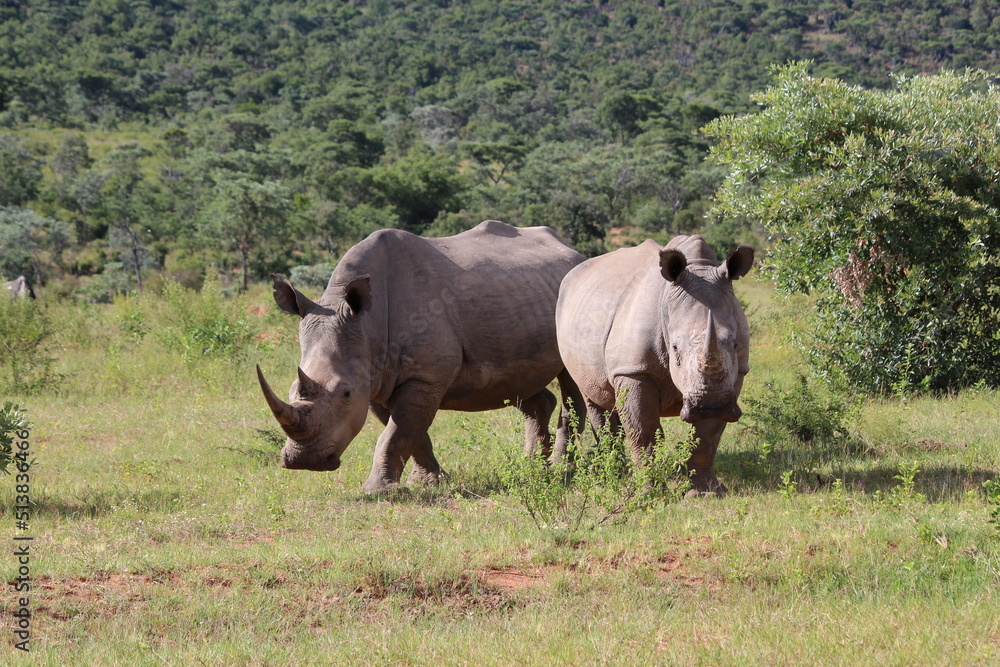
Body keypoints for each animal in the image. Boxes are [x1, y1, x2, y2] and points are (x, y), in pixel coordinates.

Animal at [257, 220, 585, 493]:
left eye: (346, 394)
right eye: (291, 390)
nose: (304, 461)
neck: (369, 324)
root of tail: (574, 251)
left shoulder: (422, 377)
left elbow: (397, 432)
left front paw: (377, 492)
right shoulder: (377, 378)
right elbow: (407, 432)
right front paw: (429, 481)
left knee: (571, 381)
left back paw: (561, 469)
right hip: (519, 297)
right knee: (520, 383)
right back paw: (533, 466)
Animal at [555, 235, 754, 495]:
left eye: (734, 344)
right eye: (675, 349)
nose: (710, 405)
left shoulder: (735, 374)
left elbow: (708, 437)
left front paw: (707, 492)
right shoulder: (634, 370)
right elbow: (642, 429)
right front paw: (648, 492)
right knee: (595, 400)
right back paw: (613, 477)